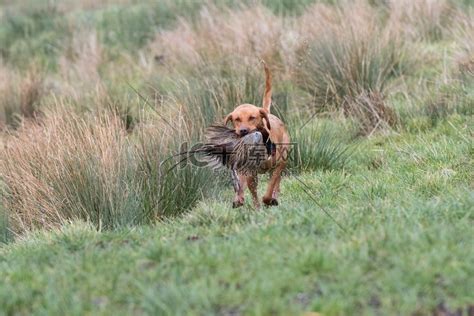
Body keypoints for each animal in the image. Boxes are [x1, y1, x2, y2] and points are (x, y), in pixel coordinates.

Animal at [225, 63, 290, 209]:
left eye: (252, 117)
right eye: (237, 119)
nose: (243, 131)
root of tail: (266, 111)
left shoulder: (278, 165)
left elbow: (271, 186)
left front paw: (269, 200)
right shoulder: (249, 172)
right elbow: (251, 189)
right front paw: (256, 206)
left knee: (276, 183)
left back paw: (273, 198)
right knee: (244, 184)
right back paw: (239, 198)